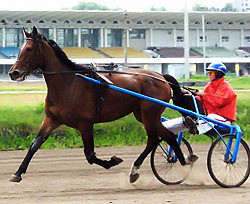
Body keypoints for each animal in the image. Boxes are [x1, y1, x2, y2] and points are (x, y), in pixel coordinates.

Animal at [8, 25, 190, 183]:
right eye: (19, 48)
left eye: (29, 49)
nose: (13, 73)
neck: (68, 84)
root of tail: (161, 77)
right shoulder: (52, 119)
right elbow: (34, 144)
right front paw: (17, 173)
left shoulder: (85, 123)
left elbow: (90, 155)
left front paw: (113, 160)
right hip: (144, 114)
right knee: (167, 135)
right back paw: (181, 160)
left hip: (149, 113)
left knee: (154, 138)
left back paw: (146, 168)